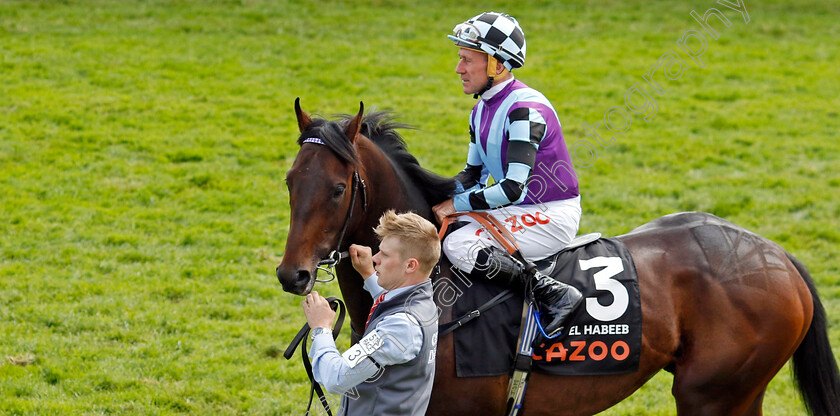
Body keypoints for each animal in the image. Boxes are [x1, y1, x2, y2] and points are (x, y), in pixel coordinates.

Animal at [278, 99, 840, 414]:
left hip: (712, 394)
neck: (441, 296)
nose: (293, 274)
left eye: (336, 189)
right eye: (289, 181)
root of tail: (777, 254)